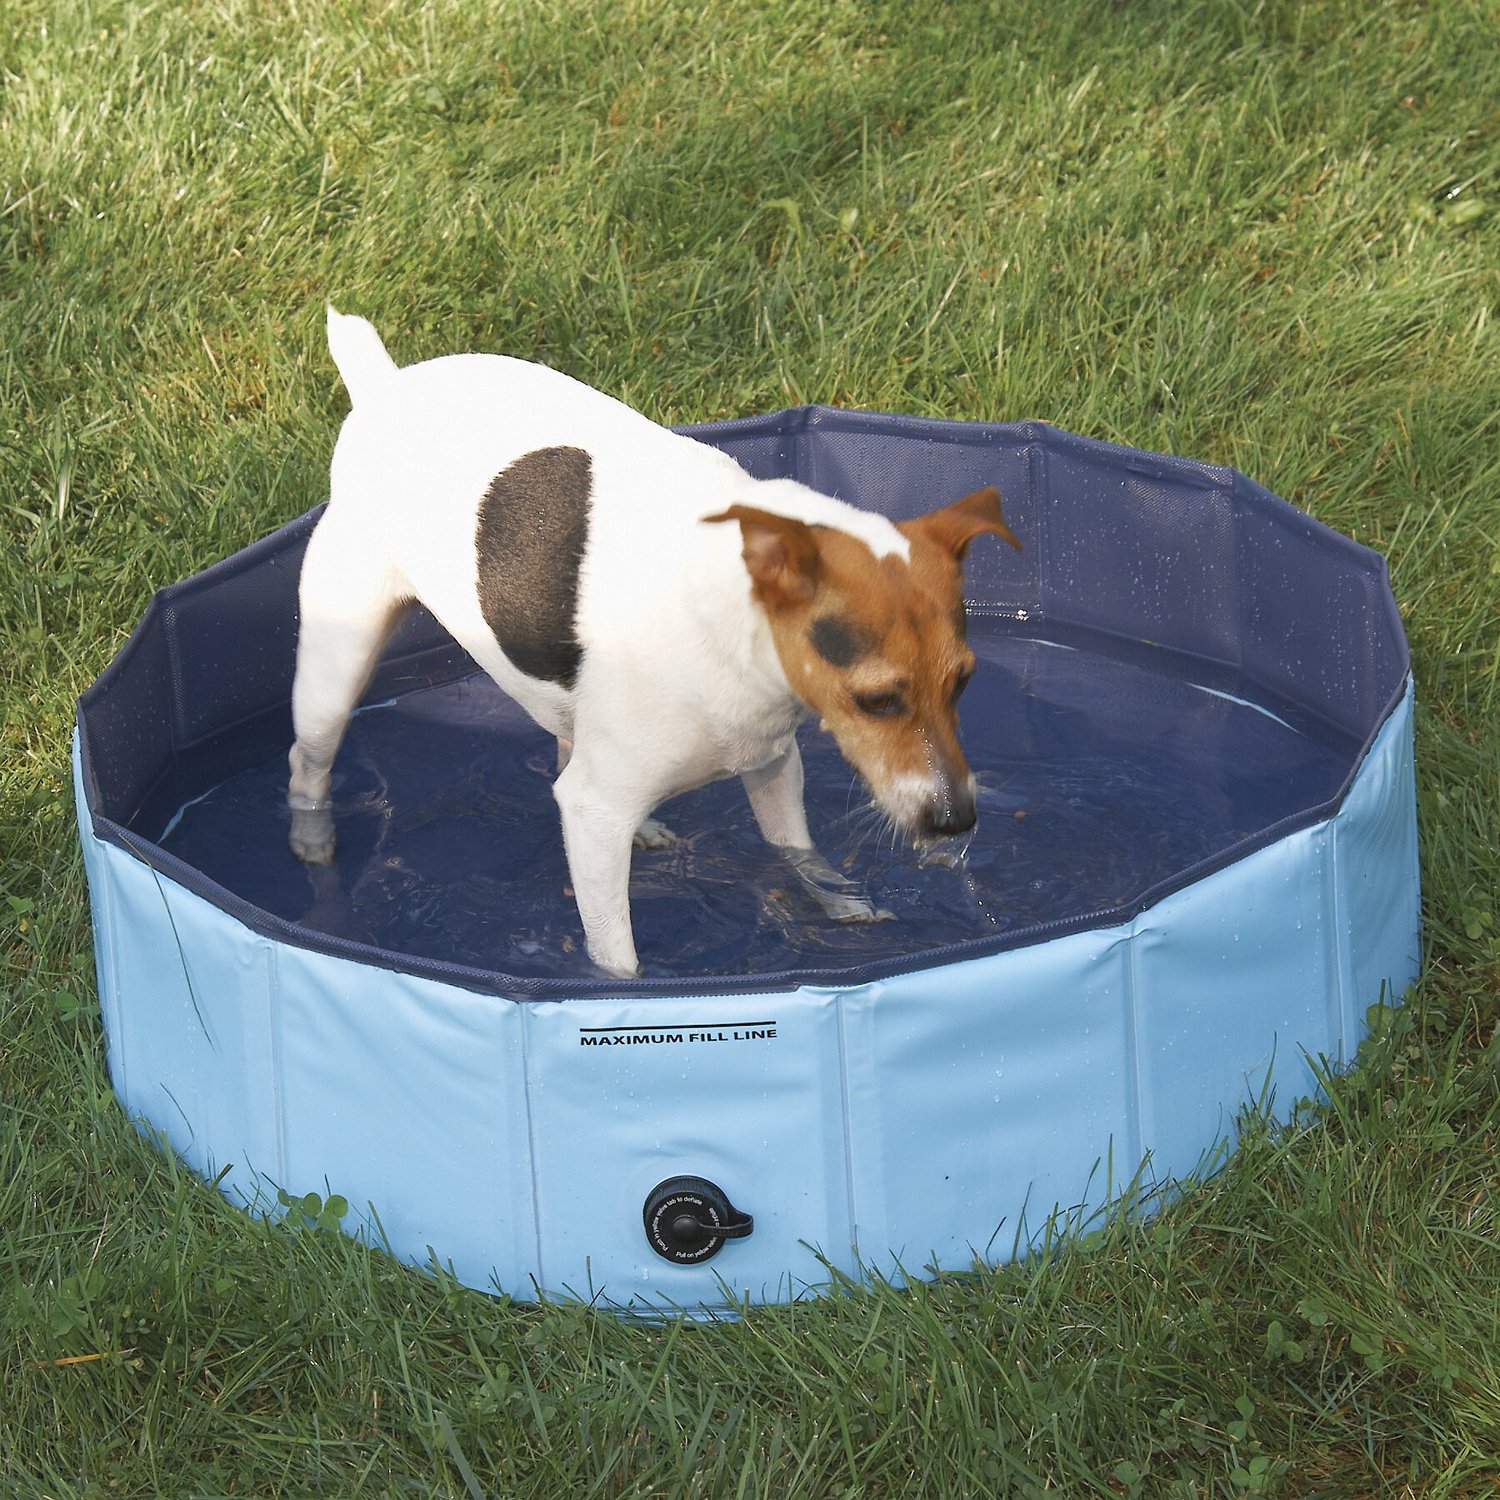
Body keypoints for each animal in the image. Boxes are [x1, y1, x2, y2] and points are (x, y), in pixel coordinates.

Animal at [288, 310, 1020, 978]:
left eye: (963, 681)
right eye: (877, 700)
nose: (956, 823)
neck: (732, 618)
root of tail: (382, 384)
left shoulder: (773, 763)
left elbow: (801, 854)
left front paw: (844, 908)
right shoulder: (593, 813)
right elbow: (619, 962)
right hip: (337, 664)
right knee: (308, 760)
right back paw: (313, 842)